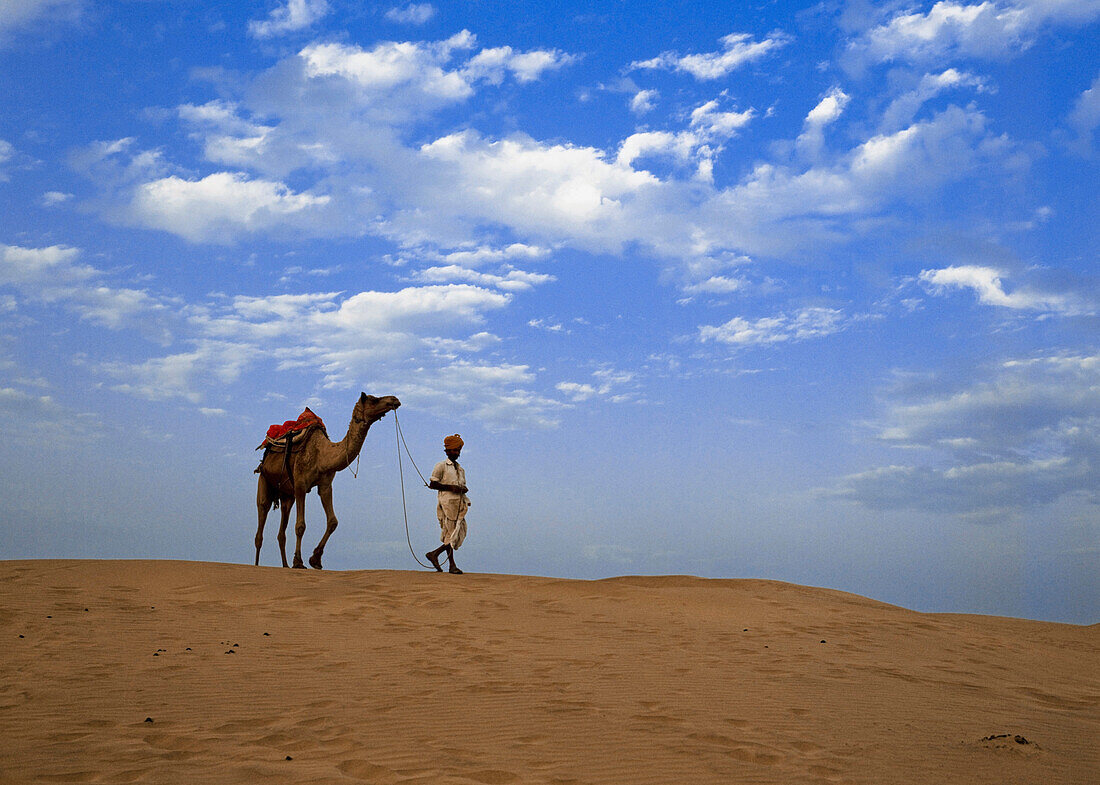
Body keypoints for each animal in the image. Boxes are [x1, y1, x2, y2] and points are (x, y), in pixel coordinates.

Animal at [253, 393, 400, 567]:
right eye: (374, 399)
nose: (394, 399)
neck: (322, 455)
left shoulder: (325, 485)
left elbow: (333, 522)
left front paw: (315, 559)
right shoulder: (300, 484)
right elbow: (300, 526)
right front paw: (299, 561)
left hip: (286, 494)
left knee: (281, 529)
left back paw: (285, 565)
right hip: (264, 479)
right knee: (261, 519)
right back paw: (257, 565)